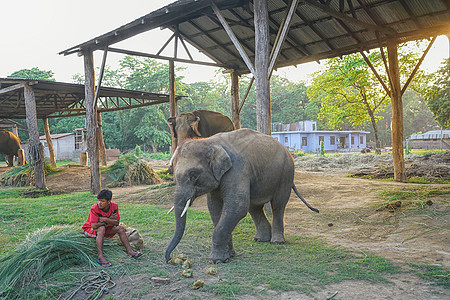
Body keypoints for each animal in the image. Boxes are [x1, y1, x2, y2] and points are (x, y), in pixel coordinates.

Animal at [166, 127, 320, 264]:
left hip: (286, 174)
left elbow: (237, 207)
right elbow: (215, 208)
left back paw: (276, 242)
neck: (209, 141)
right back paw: (260, 239)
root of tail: (288, 153)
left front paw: (216, 260)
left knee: (277, 205)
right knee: (255, 208)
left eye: (193, 175)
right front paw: (229, 256)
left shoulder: (237, 170)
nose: (168, 259)